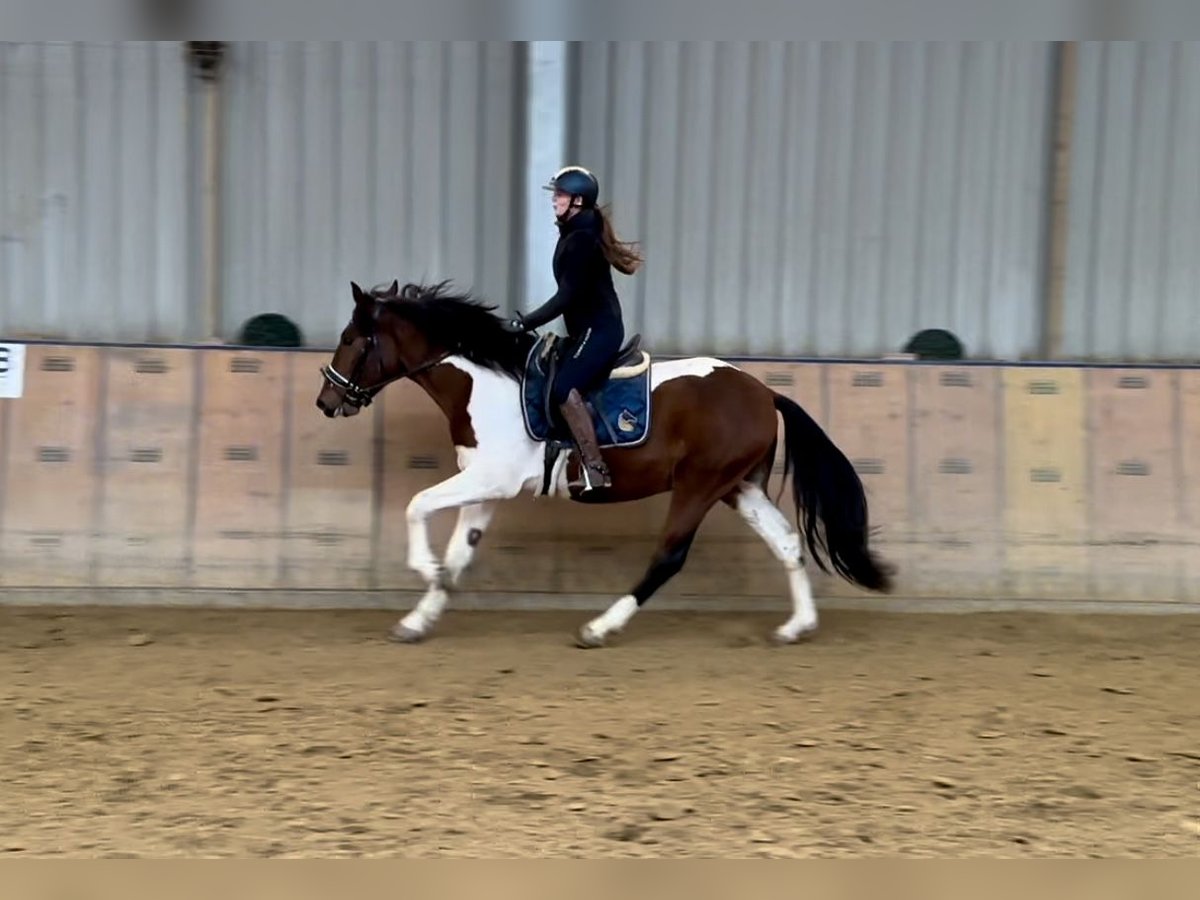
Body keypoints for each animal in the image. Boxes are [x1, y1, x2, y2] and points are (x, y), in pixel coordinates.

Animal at [314, 282, 897, 648]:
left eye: (350, 340)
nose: (326, 400)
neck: (484, 381)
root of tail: (765, 393)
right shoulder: (486, 487)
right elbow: (460, 555)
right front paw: (419, 618)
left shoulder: (488, 479)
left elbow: (416, 507)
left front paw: (425, 570)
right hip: (738, 487)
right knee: (788, 544)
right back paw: (796, 628)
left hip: (699, 485)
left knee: (668, 557)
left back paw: (599, 628)